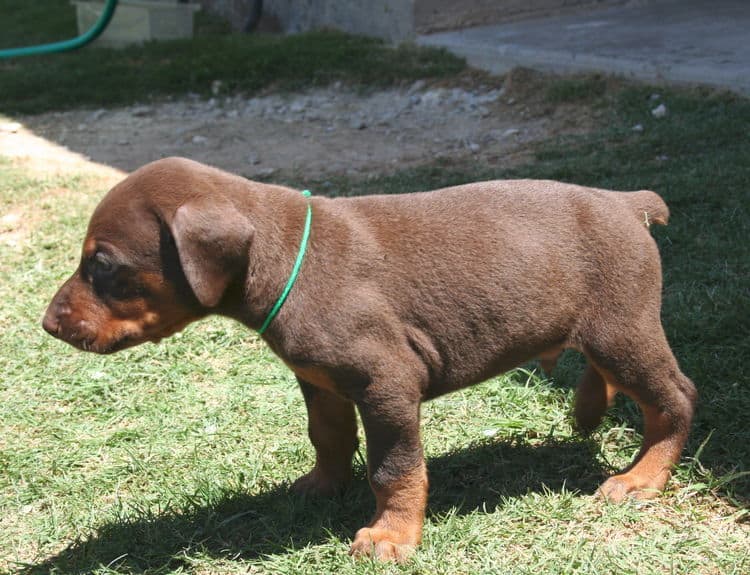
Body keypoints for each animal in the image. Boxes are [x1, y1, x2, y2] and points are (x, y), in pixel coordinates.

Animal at [42, 158, 700, 564]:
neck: (286, 257)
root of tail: (626, 202)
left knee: (673, 398)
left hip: (622, 326)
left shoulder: (386, 384)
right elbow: (328, 436)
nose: (47, 324)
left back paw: (642, 478)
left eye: (102, 264)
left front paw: (392, 535)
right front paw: (321, 485)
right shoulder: (321, 381)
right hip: (605, 328)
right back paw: (588, 410)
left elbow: (394, 467)